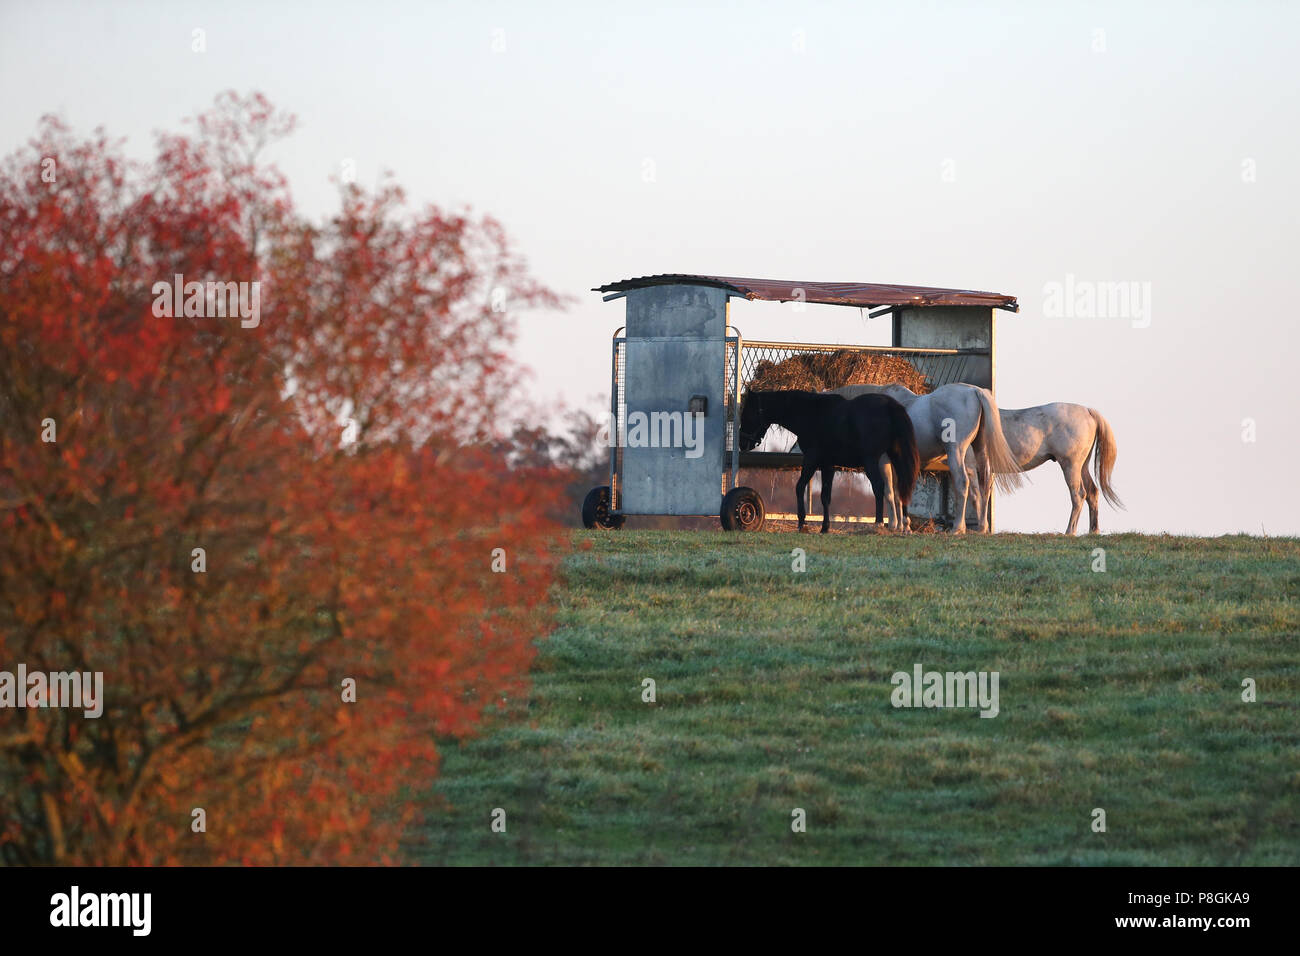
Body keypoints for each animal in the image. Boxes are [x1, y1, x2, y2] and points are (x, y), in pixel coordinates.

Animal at [738, 390, 920, 538]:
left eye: (747, 414)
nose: (742, 444)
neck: (812, 413)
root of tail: (891, 405)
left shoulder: (811, 459)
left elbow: (799, 487)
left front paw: (802, 524)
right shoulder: (828, 465)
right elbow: (826, 496)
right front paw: (825, 527)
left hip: (871, 460)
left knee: (879, 486)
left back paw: (878, 523)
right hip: (895, 456)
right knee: (902, 487)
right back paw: (905, 526)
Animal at [832, 382, 1024, 530]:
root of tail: (974, 391)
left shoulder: (883, 461)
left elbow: (888, 491)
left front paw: (893, 525)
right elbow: (897, 492)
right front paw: (902, 526)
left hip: (956, 452)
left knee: (963, 483)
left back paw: (957, 528)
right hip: (979, 452)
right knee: (983, 487)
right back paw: (981, 527)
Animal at [967, 405, 1128, 538]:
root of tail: (1088, 411)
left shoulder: (972, 468)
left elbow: (976, 496)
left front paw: (981, 529)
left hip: (1071, 465)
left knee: (1078, 495)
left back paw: (1070, 531)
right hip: (1082, 466)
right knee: (1092, 492)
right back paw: (1093, 531)